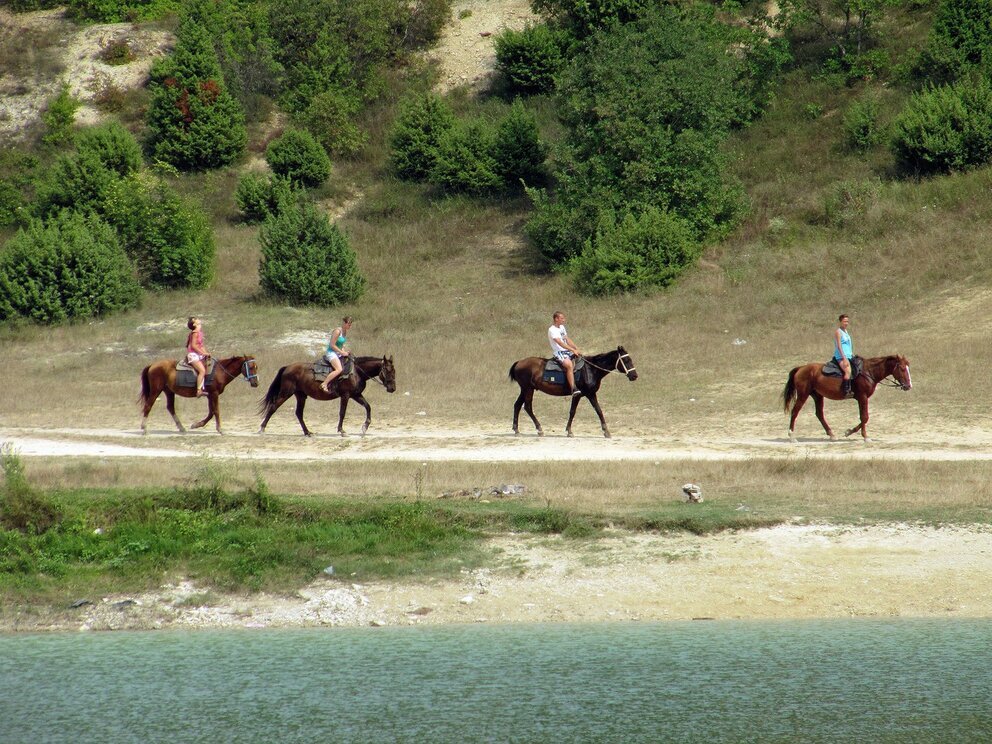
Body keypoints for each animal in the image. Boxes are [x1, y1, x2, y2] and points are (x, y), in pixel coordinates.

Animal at [258, 354, 398, 436]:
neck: (356, 372)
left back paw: (307, 432)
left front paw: (365, 426)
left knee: (299, 413)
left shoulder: (356, 395)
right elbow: (342, 413)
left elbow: (368, 407)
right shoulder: (346, 395)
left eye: (394, 371)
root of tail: (287, 367)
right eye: (388, 370)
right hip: (286, 393)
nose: (392, 388)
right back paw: (262, 428)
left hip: (301, 395)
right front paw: (341, 430)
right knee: (273, 407)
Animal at [508, 348, 640, 438]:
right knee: (528, 407)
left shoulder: (589, 394)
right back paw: (539, 429)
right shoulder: (582, 395)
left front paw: (606, 431)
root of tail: (519, 362)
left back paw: (516, 429)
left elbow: (597, 410)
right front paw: (570, 431)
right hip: (528, 389)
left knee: (517, 405)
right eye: (626, 360)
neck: (591, 369)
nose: (634, 376)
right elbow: (575, 412)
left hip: (525, 389)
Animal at [784, 354, 916, 442]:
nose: (908, 386)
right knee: (795, 411)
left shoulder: (861, 398)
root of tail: (801, 368)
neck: (868, 372)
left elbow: (863, 418)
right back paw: (791, 436)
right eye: (902, 368)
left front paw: (849, 432)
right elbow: (865, 417)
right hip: (803, 395)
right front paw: (865, 437)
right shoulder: (863, 397)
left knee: (819, 414)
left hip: (818, 396)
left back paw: (831, 435)